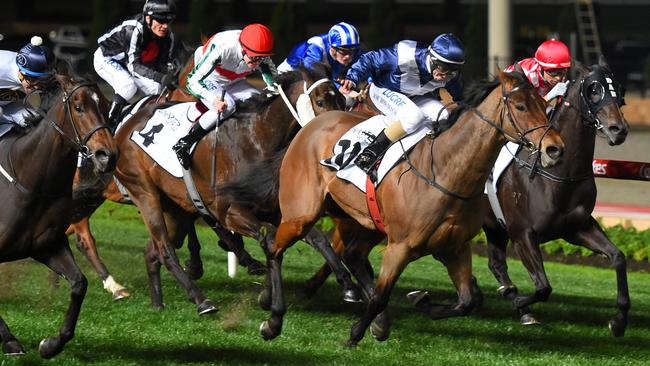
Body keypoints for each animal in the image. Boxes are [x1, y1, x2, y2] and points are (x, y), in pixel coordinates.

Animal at [0, 74, 115, 358]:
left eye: (106, 105)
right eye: (78, 107)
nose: (107, 156)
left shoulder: (47, 245)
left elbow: (79, 284)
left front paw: (51, 344)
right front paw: (10, 341)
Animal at [112, 65, 354, 312]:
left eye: (343, 101)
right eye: (320, 101)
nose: (337, 138)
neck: (257, 140)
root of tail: (124, 127)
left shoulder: (273, 210)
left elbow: (316, 238)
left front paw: (348, 285)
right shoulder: (230, 212)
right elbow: (269, 238)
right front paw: (268, 295)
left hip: (174, 208)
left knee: (153, 251)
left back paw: (158, 302)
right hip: (145, 192)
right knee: (165, 250)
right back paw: (201, 300)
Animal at [251, 69, 564, 346]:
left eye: (545, 105)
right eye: (521, 106)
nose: (554, 149)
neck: (445, 171)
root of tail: (310, 127)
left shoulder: (455, 247)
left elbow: (467, 301)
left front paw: (421, 302)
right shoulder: (401, 246)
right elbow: (381, 296)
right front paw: (355, 335)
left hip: (366, 221)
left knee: (348, 254)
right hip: (302, 213)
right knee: (274, 248)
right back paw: (273, 318)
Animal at [480, 56, 628, 334]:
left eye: (620, 91)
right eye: (594, 90)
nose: (619, 129)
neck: (559, 174)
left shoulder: (577, 227)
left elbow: (618, 257)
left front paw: (618, 320)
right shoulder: (522, 234)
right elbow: (543, 286)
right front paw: (519, 301)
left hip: (493, 226)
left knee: (496, 263)